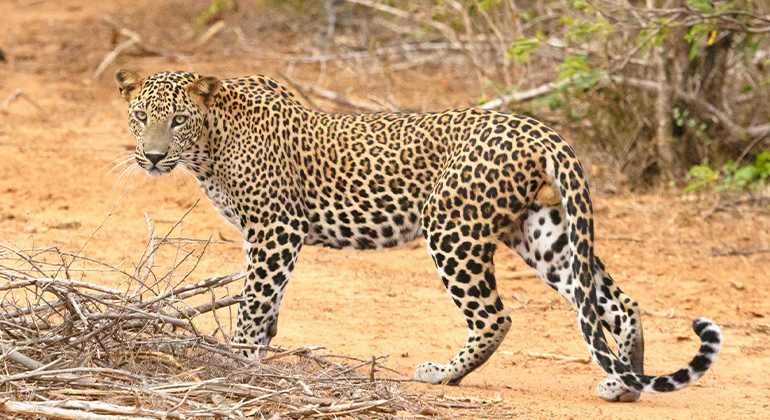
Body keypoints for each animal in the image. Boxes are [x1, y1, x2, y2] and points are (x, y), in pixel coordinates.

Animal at [115, 69, 720, 400]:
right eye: (140, 117)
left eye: (177, 120)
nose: (153, 156)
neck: (210, 146)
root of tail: (538, 128)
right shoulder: (269, 236)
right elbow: (268, 305)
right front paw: (256, 357)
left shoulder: (275, 229)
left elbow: (254, 301)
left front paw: (236, 362)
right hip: (542, 232)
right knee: (614, 302)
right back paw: (624, 383)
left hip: (451, 227)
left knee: (495, 316)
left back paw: (441, 376)